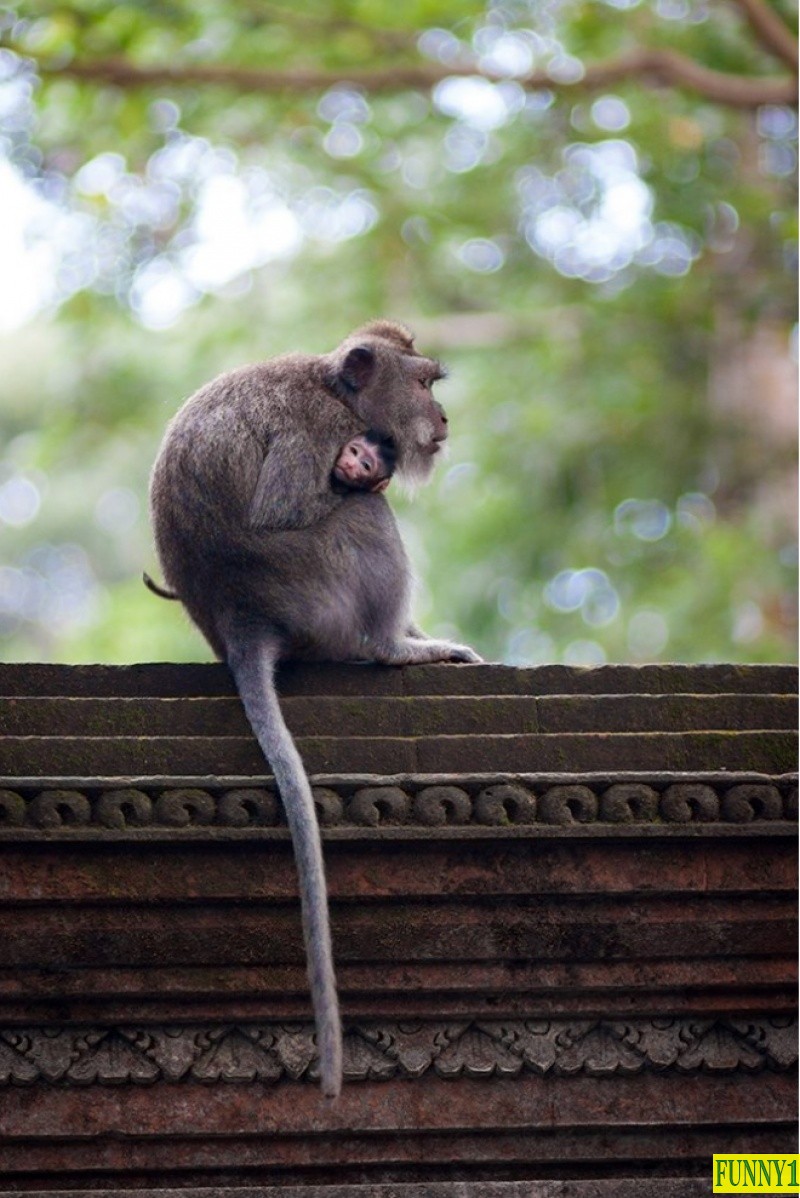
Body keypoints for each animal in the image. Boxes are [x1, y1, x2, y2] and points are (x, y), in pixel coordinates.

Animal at [149, 318, 481, 1097]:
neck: (335, 390)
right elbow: (289, 507)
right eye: (423, 383)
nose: (443, 419)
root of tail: (242, 621)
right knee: (363, 512)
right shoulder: (318, 434)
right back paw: (397, 647)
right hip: (314, 588)